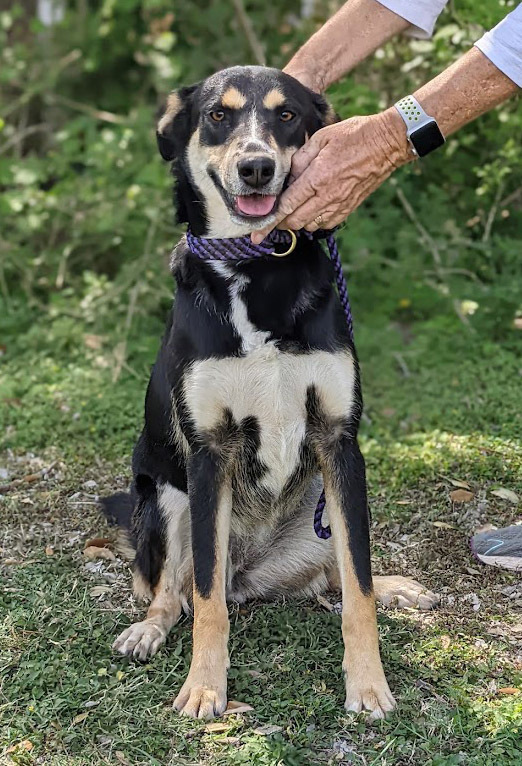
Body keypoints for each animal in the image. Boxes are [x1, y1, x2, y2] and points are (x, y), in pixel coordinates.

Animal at [100, 66, 434, 720]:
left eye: (286, 116)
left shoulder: (340, 444)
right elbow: (205, 600)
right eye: (218, 116)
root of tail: (252, 575)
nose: (256, 167)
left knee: (337, 575)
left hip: (322, 505)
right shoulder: (209, 455)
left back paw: (394, 588)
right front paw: (205, 687)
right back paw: (148, 629)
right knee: (174, 591)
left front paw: (368, 684)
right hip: (167, 497)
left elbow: (358, 586)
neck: (256, 265)